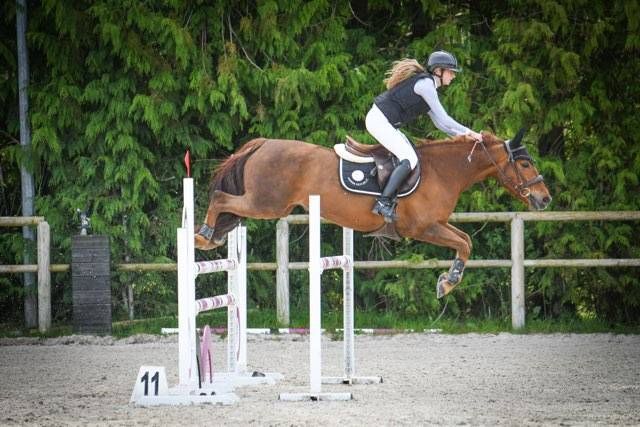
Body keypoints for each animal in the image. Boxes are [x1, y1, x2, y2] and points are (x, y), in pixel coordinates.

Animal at [193, 130, 551, 297]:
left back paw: (213, 236)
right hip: (266, 203)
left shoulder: (437, 224)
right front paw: (448, 283)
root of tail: (263, 143)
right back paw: (204, 236)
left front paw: (448, 280)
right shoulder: (422, 228)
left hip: (267, 203)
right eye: (524, 163)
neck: (442, 171)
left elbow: (465, 240)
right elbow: (464, 242)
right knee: (220, 197)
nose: (545, 198)